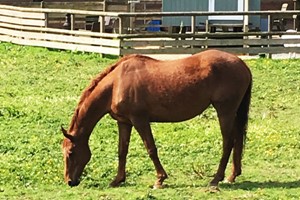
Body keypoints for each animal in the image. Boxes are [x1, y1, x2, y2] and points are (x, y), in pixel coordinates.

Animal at [62, 49, 252, 189]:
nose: (70, 181)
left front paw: (159, 179)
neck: (116, 84)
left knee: (228, 142)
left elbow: (151, 149)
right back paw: (232, 176)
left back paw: (216, 179)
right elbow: (122, 151)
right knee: (237, 139)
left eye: (71, 152)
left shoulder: (140, 120)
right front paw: (118, 179)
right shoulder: (124, 123)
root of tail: (241, 64)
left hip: (225, 112)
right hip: (233, 112)